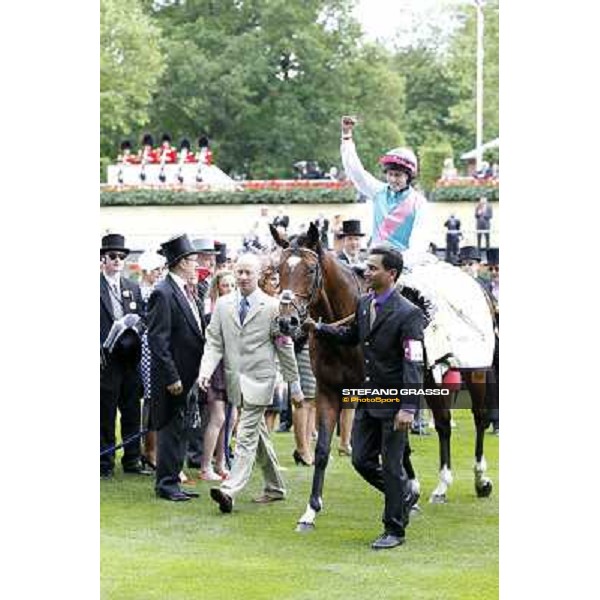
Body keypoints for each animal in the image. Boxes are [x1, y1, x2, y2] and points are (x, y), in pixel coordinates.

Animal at [272, 224, 496, 528]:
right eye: (279, 269)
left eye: (309, 269)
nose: (287, 321)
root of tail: (478, 286)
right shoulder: (328, 391)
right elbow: (322, 451)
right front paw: (311, 510)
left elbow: (395, 446)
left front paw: (407, 492)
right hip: (431, 378)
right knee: (443, 424)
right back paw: (442, 485)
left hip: (476, 372)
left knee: (480, 418)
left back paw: (481, 478)